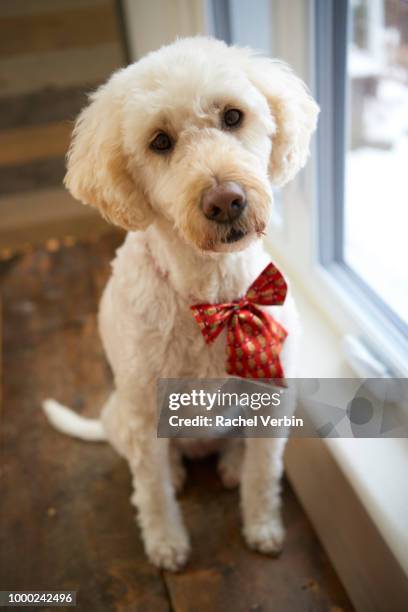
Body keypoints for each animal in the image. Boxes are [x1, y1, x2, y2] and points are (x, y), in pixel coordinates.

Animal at [44, 35, 318, 572]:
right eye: (160, 141)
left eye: (233, 116)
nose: (226, 200)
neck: (211, 294)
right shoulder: (143, 412)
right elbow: (152, 495)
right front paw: (166, 544)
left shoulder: (273, 404)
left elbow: (262, 477)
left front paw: (262, 528)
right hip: (124, 417)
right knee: (152, 470)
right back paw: (175, 472)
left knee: (237, 455)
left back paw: (230, 464)